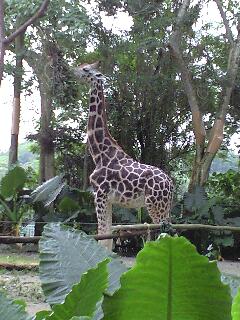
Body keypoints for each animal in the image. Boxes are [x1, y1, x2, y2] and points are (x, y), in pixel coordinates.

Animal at [74, 62, 173, 250]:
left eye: (85, 69)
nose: (73, 71)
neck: (99, 153)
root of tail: (171, 185)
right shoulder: (108, 200)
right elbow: (107, 235)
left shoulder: (100, 194)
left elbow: (103, 235)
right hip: (163, 205)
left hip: (155, 204)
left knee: (167, 234)